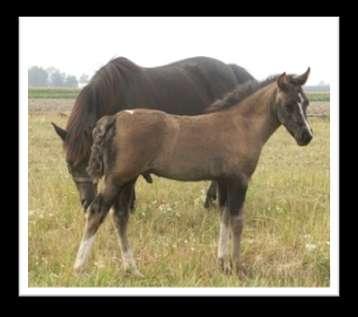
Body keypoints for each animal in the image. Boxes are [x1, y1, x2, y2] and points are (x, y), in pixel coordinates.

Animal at [74, 67, 312, 274]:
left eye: (306, 102)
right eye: (289, 104)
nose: (306, 136)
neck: (240, 125)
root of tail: (115, 119)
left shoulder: (223, 180)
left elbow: (224, 217)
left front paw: (222, 264)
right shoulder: (240, 180)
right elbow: (237, 221)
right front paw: (238, 267)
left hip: (128, 180)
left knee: (120, 217)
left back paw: (132, 269)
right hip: (116, 179)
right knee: (96, 211)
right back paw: (79, 267)